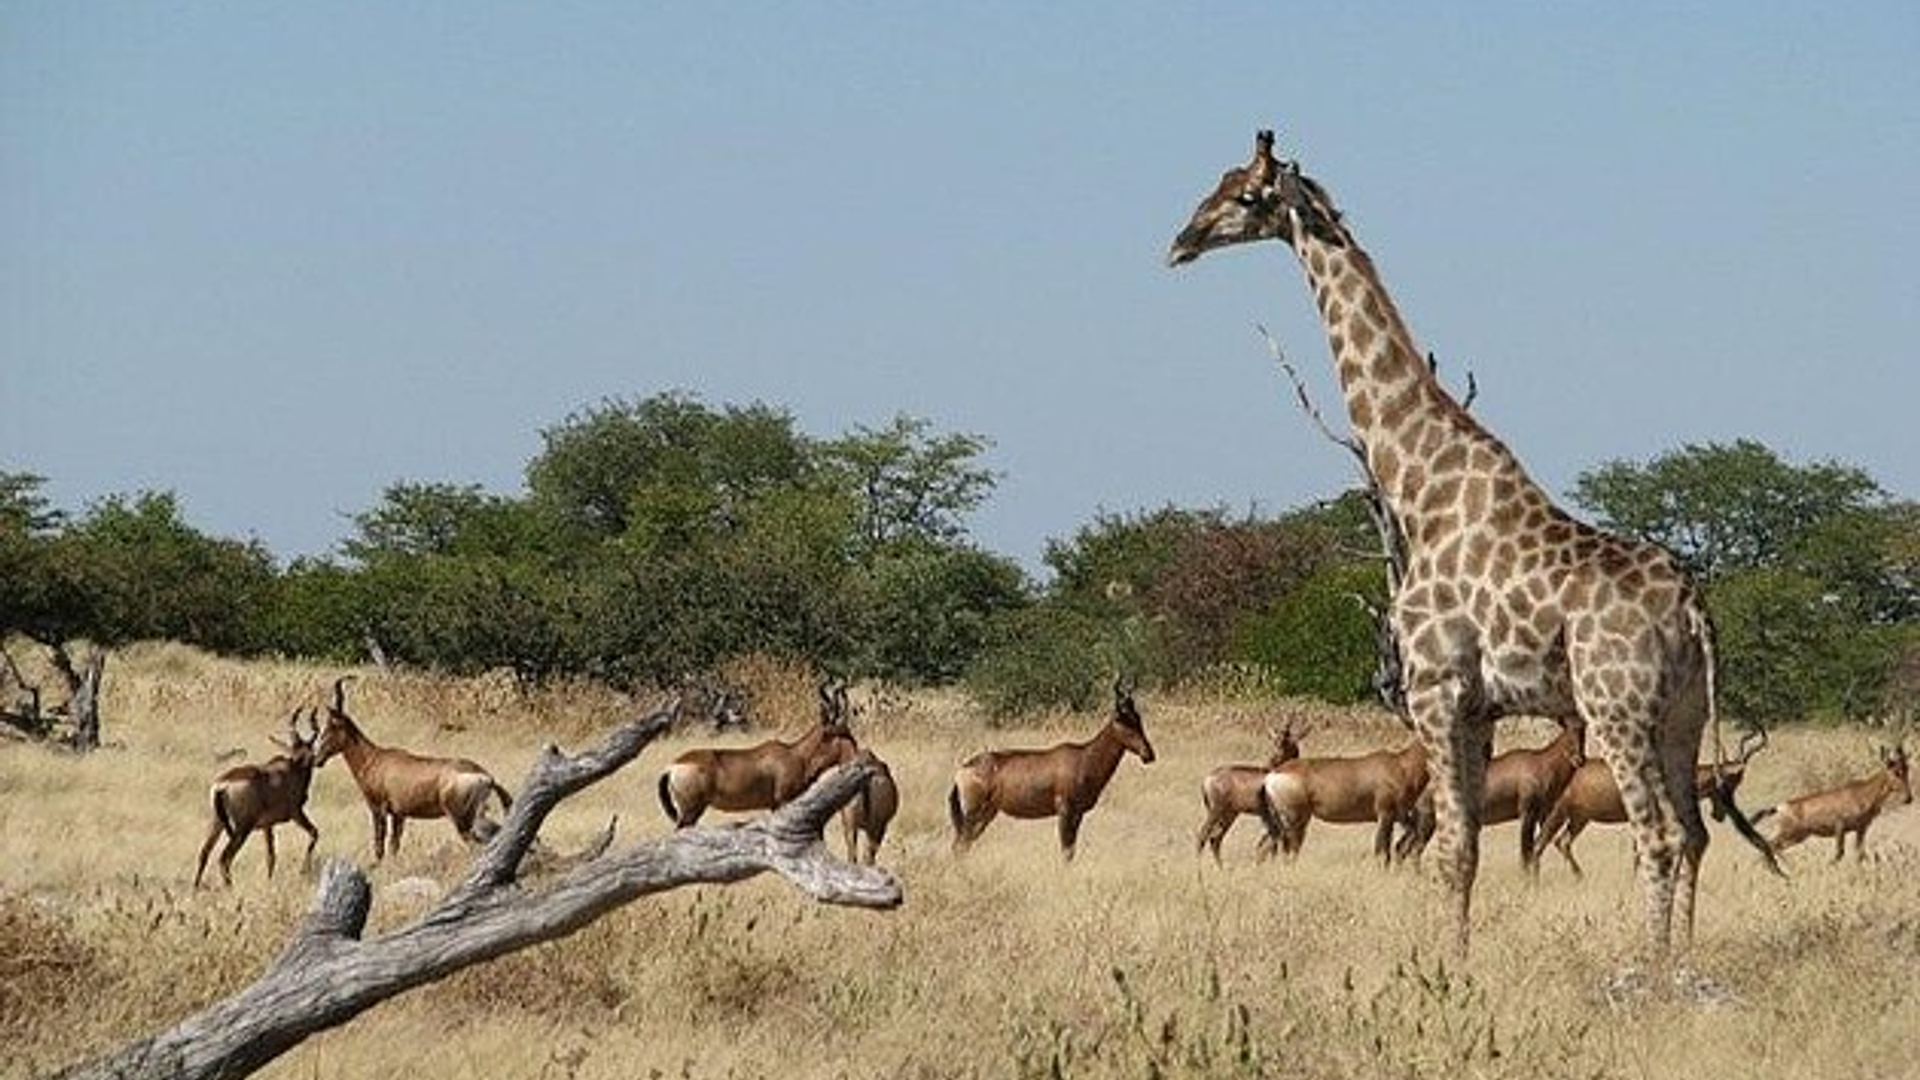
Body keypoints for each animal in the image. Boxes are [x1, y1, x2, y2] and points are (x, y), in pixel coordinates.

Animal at [1167, 130, 1740, 959]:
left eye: (1247, 195)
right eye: (1217, 182)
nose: (1182, 240)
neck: (1420, 488)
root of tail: (1694, 612)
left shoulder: (1437, 688)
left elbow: (1449, 848)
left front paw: (1450, 967)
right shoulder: (1481, 707)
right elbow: (1463, 845)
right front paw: (1459, 959)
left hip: (1617, 704)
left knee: (1659, 835)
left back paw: (1649, 967)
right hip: (1684, 713)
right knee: (1694, 833)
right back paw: (1685, 958)